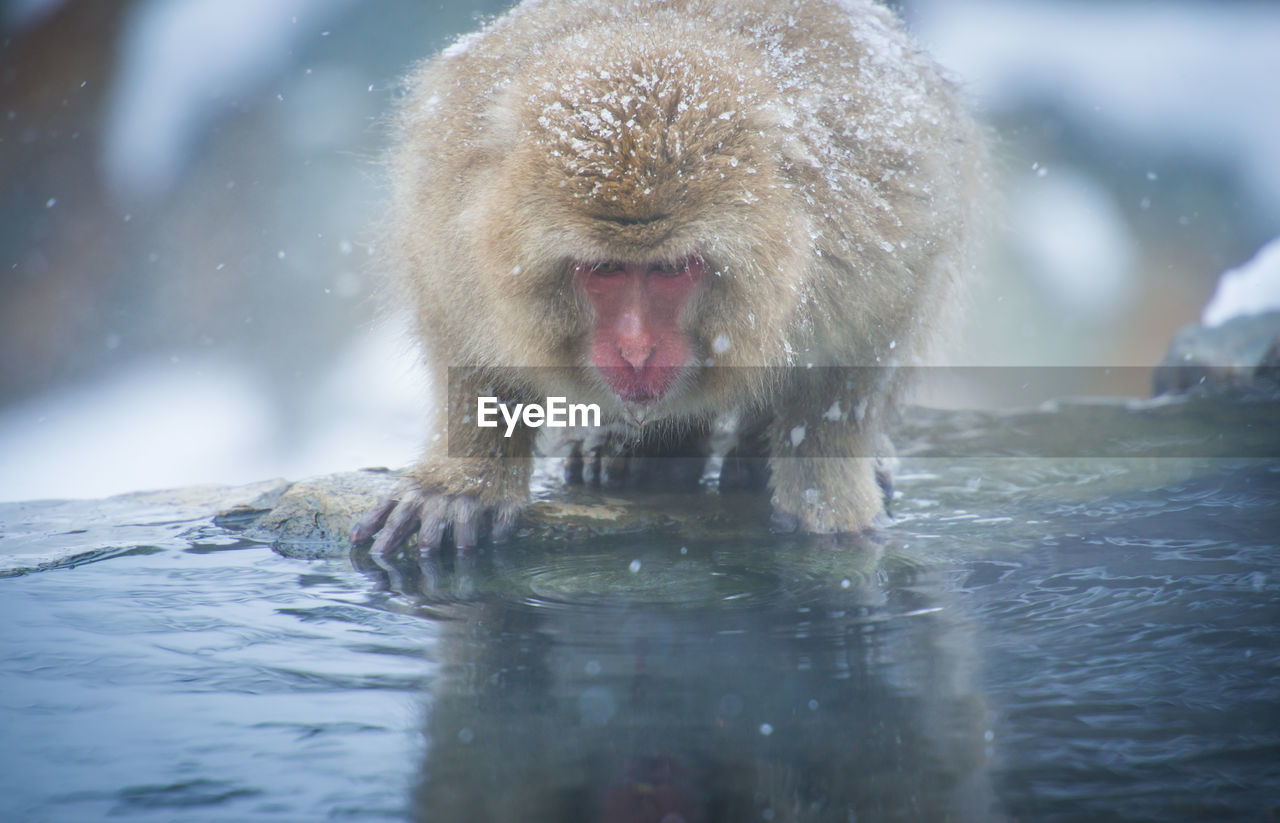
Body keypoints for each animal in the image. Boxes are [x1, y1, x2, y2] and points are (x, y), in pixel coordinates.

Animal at [355, 1, 983, 552]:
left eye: (671, 269)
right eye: (605, 269)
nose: (635, 348)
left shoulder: (873, 239)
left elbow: (864, 352)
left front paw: (826, 492)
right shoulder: (452, 224)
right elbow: (462, 335)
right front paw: (464, 479)